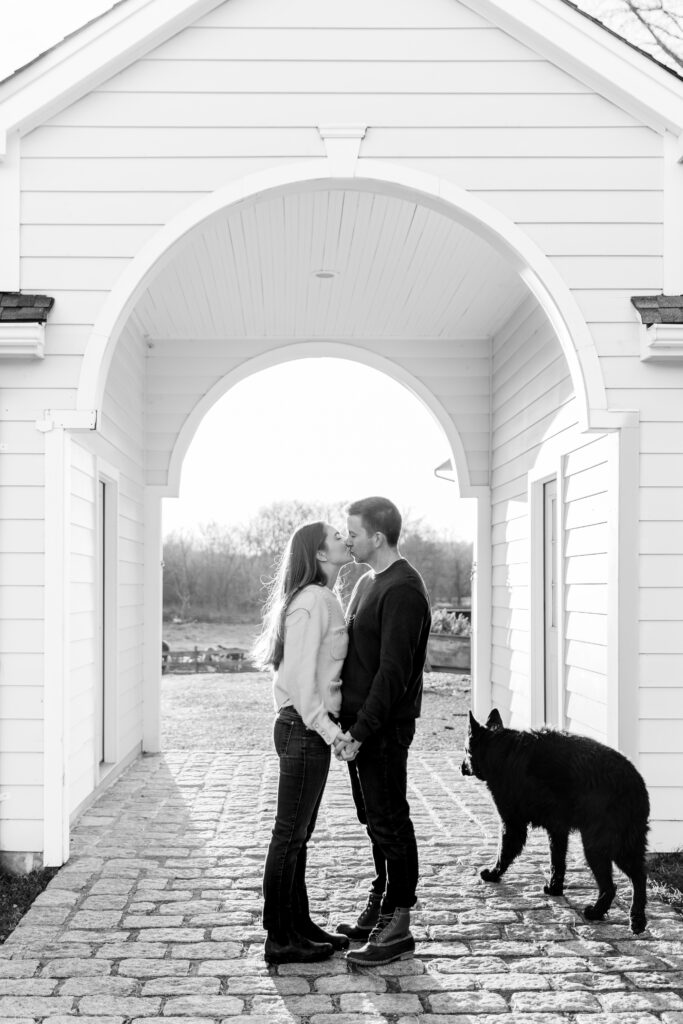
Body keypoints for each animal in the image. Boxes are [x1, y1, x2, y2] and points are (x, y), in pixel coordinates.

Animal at [462, 708, 651, 933]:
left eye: (465, 750)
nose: (461, 767)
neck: (500, 749)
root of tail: (635, 783)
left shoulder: (513, 824)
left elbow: (504, 853)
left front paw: (493, 873)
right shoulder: (558, 830)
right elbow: (557, 862)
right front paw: (555, 889)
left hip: (598, 845)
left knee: (612, 885)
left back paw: (597, 913)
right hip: (626, 843)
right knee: (639, 877)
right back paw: (637, 919)